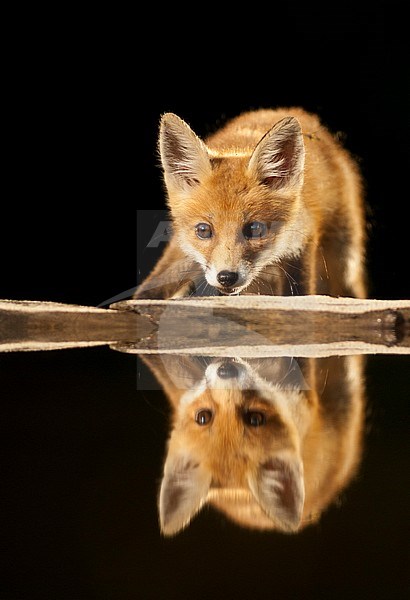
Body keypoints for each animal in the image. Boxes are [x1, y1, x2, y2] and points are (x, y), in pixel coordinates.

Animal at [136, 108, 366, 300]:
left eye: (255, 229)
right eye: (203, 230)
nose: (226, 277)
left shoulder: (301, 242)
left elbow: (299, 292)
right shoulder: (181, 248)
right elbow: (155, 284)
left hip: (345, 259)